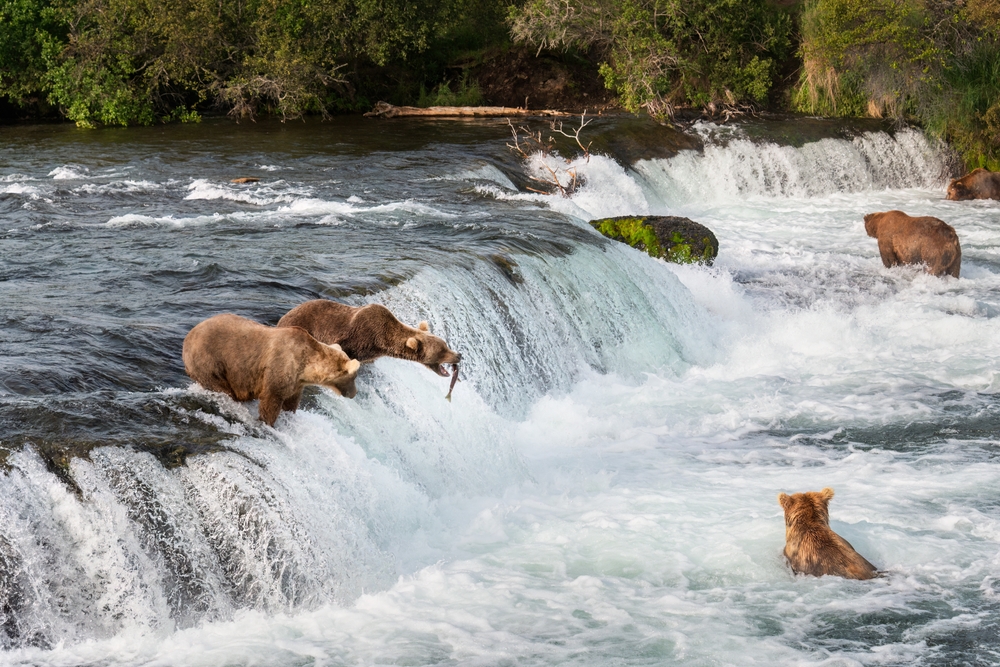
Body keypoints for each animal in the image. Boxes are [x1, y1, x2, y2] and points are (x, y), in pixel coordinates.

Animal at [182, 314, 362, 428]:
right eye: (354, 377)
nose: (354, 393)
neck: (306, 366)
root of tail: (188, 337)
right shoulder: (279, 368)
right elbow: (271, 400)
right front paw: (268, 422)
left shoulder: (296, 382)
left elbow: (291, 401)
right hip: (209, 360)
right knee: (220, 387)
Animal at [274, 302, 460, 376]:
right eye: (442, 350)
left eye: (445, 344)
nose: (459, 355)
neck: (381, 341)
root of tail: (281, 319)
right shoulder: (356, 335)